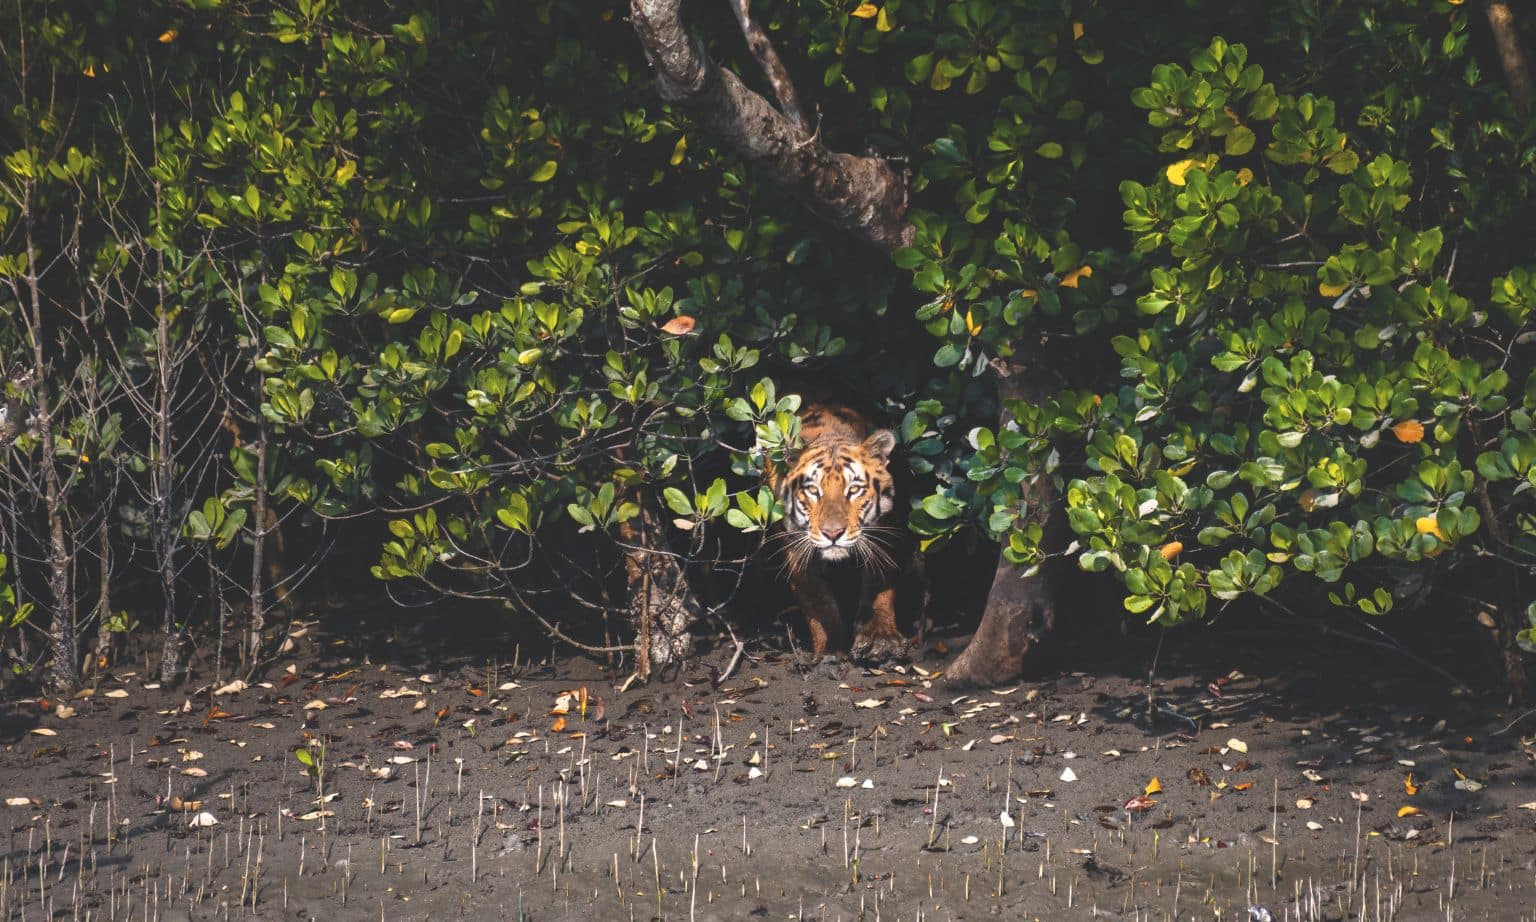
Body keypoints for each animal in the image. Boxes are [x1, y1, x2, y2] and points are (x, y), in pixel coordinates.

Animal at [767, 396, 911, 664]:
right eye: (812, 490)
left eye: (854, 489)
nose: (832, 533)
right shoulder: (798, 549)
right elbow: (819, 601)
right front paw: (830, 651)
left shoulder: (884, 531)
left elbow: (879, 582)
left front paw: (880, 638)